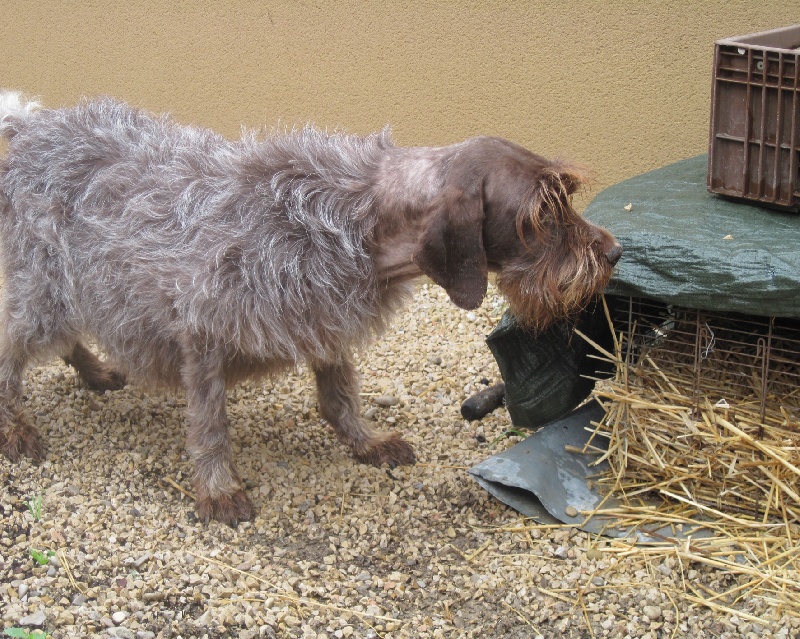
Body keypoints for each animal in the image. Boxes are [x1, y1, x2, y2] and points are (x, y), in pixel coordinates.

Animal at [0, 92, 620, 528]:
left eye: (564, 199)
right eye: (540, 215)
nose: (613, 253)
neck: (355, 218)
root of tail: (30, 128)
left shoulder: (324, 321)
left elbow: (339, 396)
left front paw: (364, 440)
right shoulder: (201, 331)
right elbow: (210, 425)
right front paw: (218, 488)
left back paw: (93, 371)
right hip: (44, 289)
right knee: (12, 350)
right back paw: (17, 427)